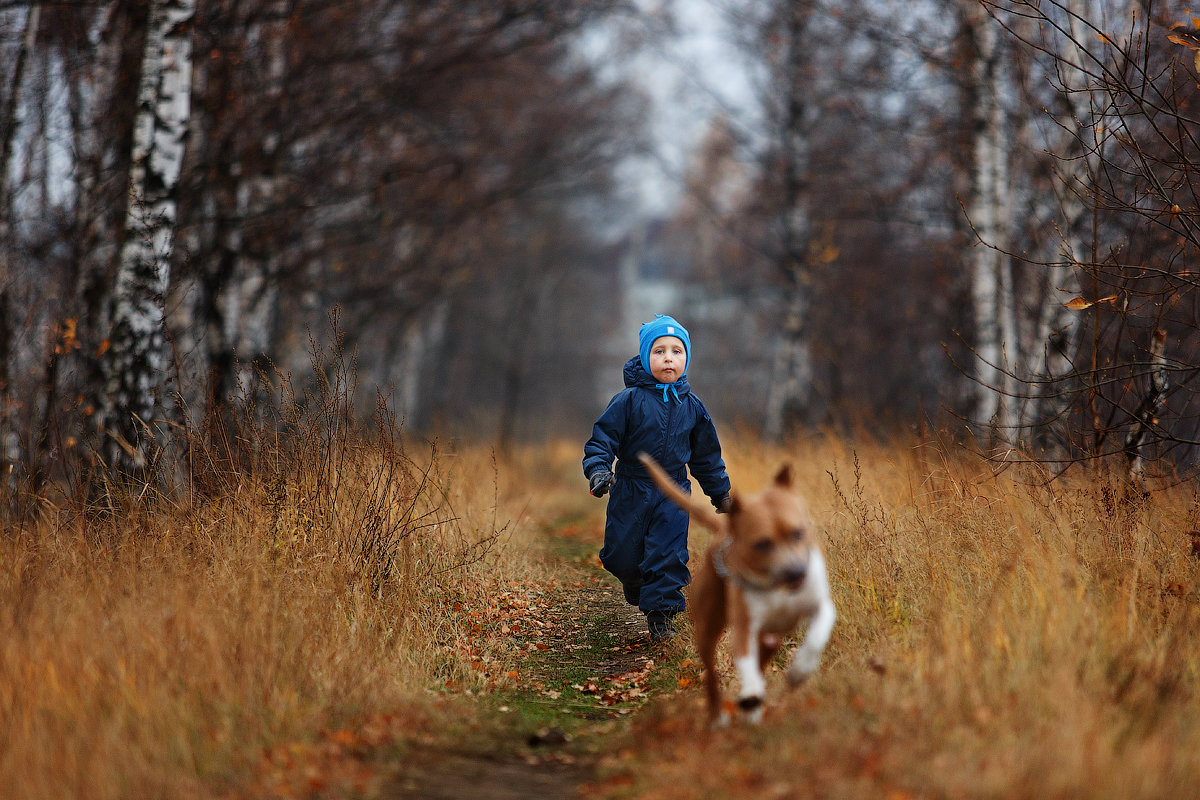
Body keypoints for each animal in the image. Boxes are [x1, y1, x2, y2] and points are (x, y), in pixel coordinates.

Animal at [638, 450, 835, 724]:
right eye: (762, 544)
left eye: (798, 533)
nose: (796, 572)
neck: (777, 588)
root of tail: (725, 529)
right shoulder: (744, 626)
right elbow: (744, 660)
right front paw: (751, 692)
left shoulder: (819, 604)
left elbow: (817, 635)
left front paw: (800, 671)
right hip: (708, 627)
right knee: (712, 672)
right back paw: (722, 714)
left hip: (768, 636)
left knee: (763, 656)